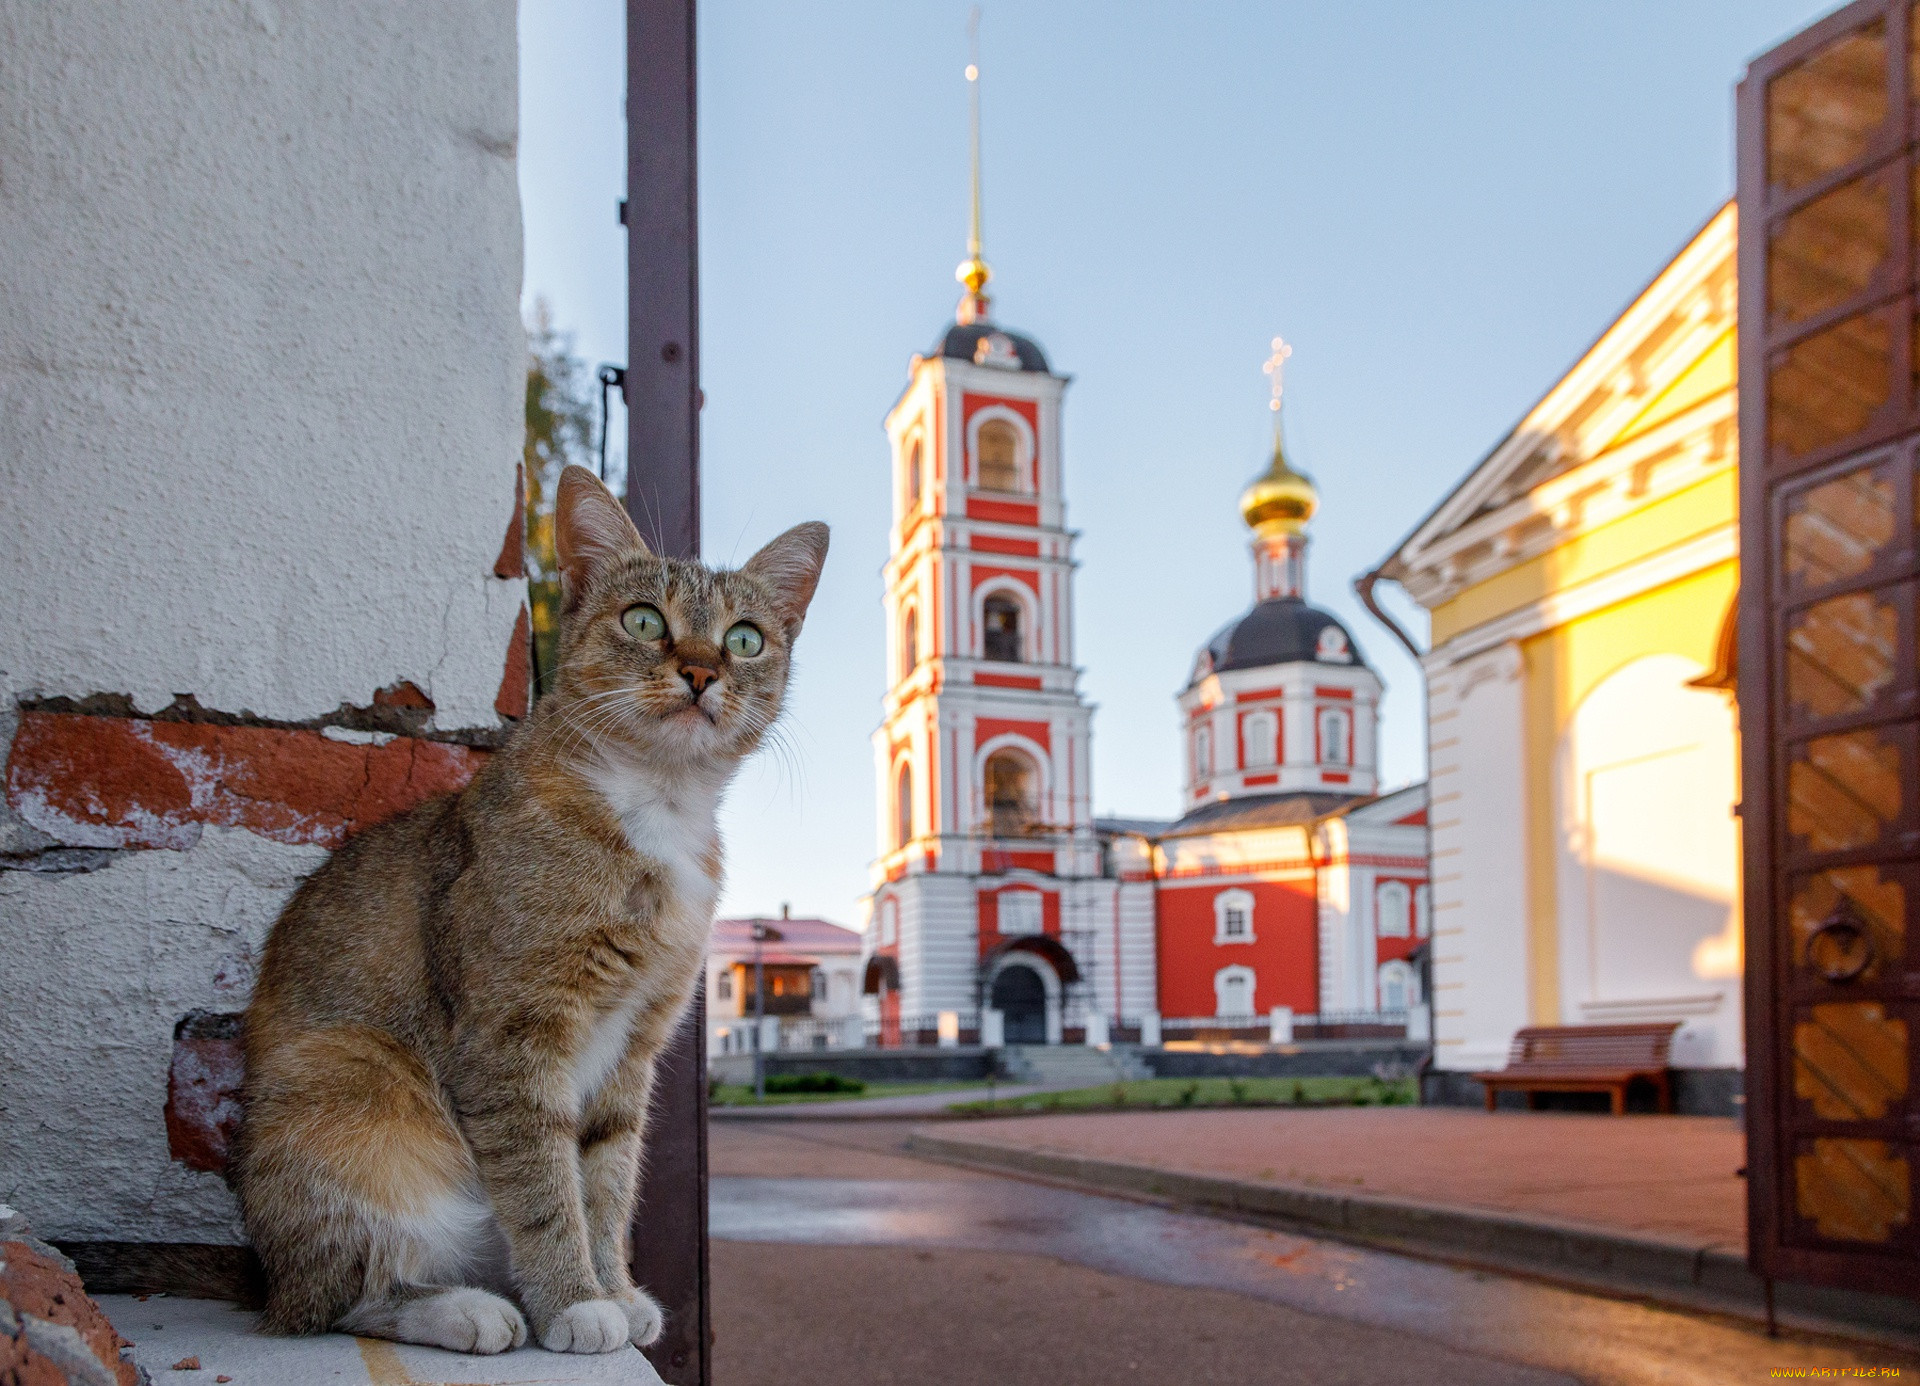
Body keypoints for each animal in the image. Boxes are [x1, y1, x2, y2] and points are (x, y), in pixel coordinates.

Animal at [232, 464, 825, 1351]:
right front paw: (577, 1302)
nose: (699, 672)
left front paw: (615, 1290)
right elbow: (546, 1185)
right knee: (336, 1294)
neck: (653, 805)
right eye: (644, 619)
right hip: (352, 1080)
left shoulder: (634, 1046)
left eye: (746, 638)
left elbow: (606, 1182)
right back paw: (461, 1308)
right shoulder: (512, 1035)